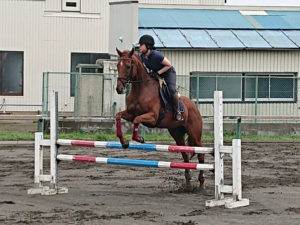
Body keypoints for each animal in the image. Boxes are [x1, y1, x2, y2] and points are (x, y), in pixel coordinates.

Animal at [115, 48, 204, 189]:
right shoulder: (129, 113)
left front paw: (139, 139)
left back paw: (201, 182)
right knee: (185, 155)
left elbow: (137, 120)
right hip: (177, 133)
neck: (141, 89)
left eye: (128, 66)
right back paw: (188, 182)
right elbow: (119, 116)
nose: (119, 89)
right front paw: (124, 142)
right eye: (118, 66)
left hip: (195, 135)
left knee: (201, 155)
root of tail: (194, 105)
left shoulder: (152, 117)